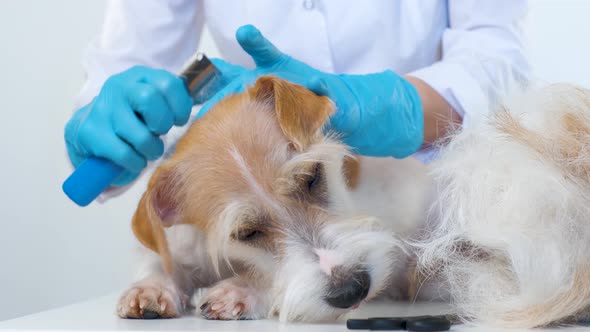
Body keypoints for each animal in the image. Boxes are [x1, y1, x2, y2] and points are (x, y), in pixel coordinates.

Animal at [115, 76, 432, 322]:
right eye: (246, 233)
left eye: (312, 176)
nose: (352, 290)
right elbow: (159, 263)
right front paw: (150, 288)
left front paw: (241, 289)